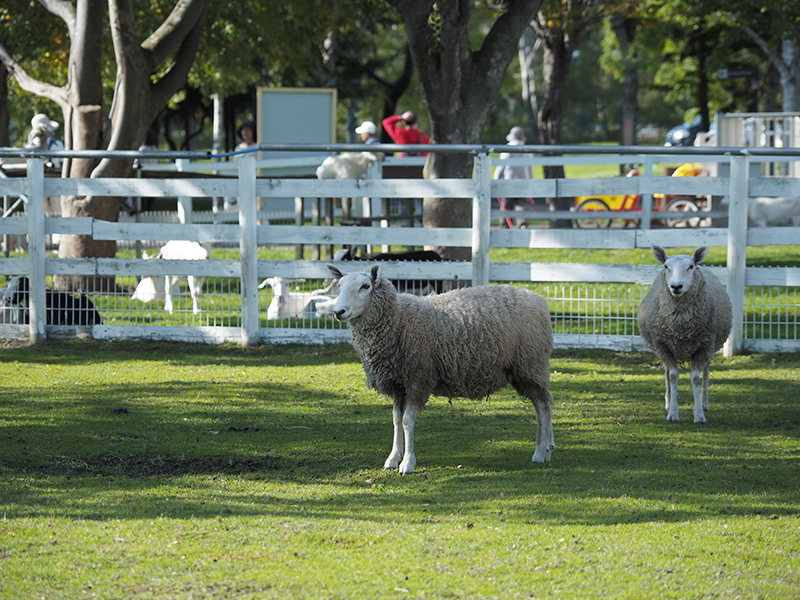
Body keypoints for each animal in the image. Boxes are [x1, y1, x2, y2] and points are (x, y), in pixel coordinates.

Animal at [324, 264, 556, 476]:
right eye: (340, 285)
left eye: (365, 286)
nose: (338, 312)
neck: (399, 319)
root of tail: (539, 299)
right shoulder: (399, 383)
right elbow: (396, 420)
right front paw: (392, 458)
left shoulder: (418, 378)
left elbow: (407, 420)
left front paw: (407, 463)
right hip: (527, 368)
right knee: (546, 401)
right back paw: (549, 447)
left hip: (530, 364)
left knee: (543, 405)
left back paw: (540, 452)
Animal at [636, 246, 732, 424]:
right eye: (666, 266)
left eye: (690, 267)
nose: (676, 286)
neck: (682, 327)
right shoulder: (663, 346)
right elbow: (673, 376)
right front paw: (673, 412)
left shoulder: (704, 346)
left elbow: (696, 378)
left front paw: (699, 414)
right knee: (667, 373)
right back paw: (668, 402)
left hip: (710, 347)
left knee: (706, 373)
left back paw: (704, 402)